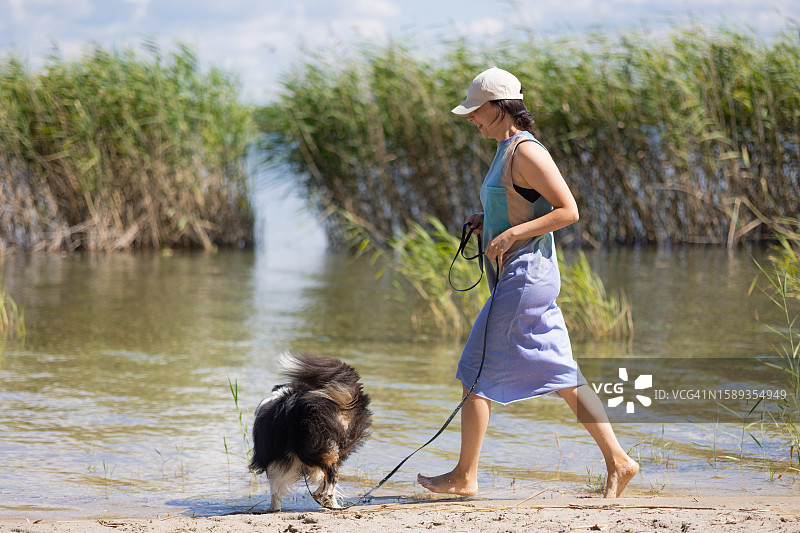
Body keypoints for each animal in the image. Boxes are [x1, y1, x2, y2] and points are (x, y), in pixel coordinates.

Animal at [250, 352, 372, 510]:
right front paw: (332, 502)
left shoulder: (273, 460)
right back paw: (327, 499)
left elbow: (275, 488)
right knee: (332, 469)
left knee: (331, 473)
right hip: (341, 445)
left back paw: (326, 496)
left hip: (310, 447)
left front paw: (273, 509)